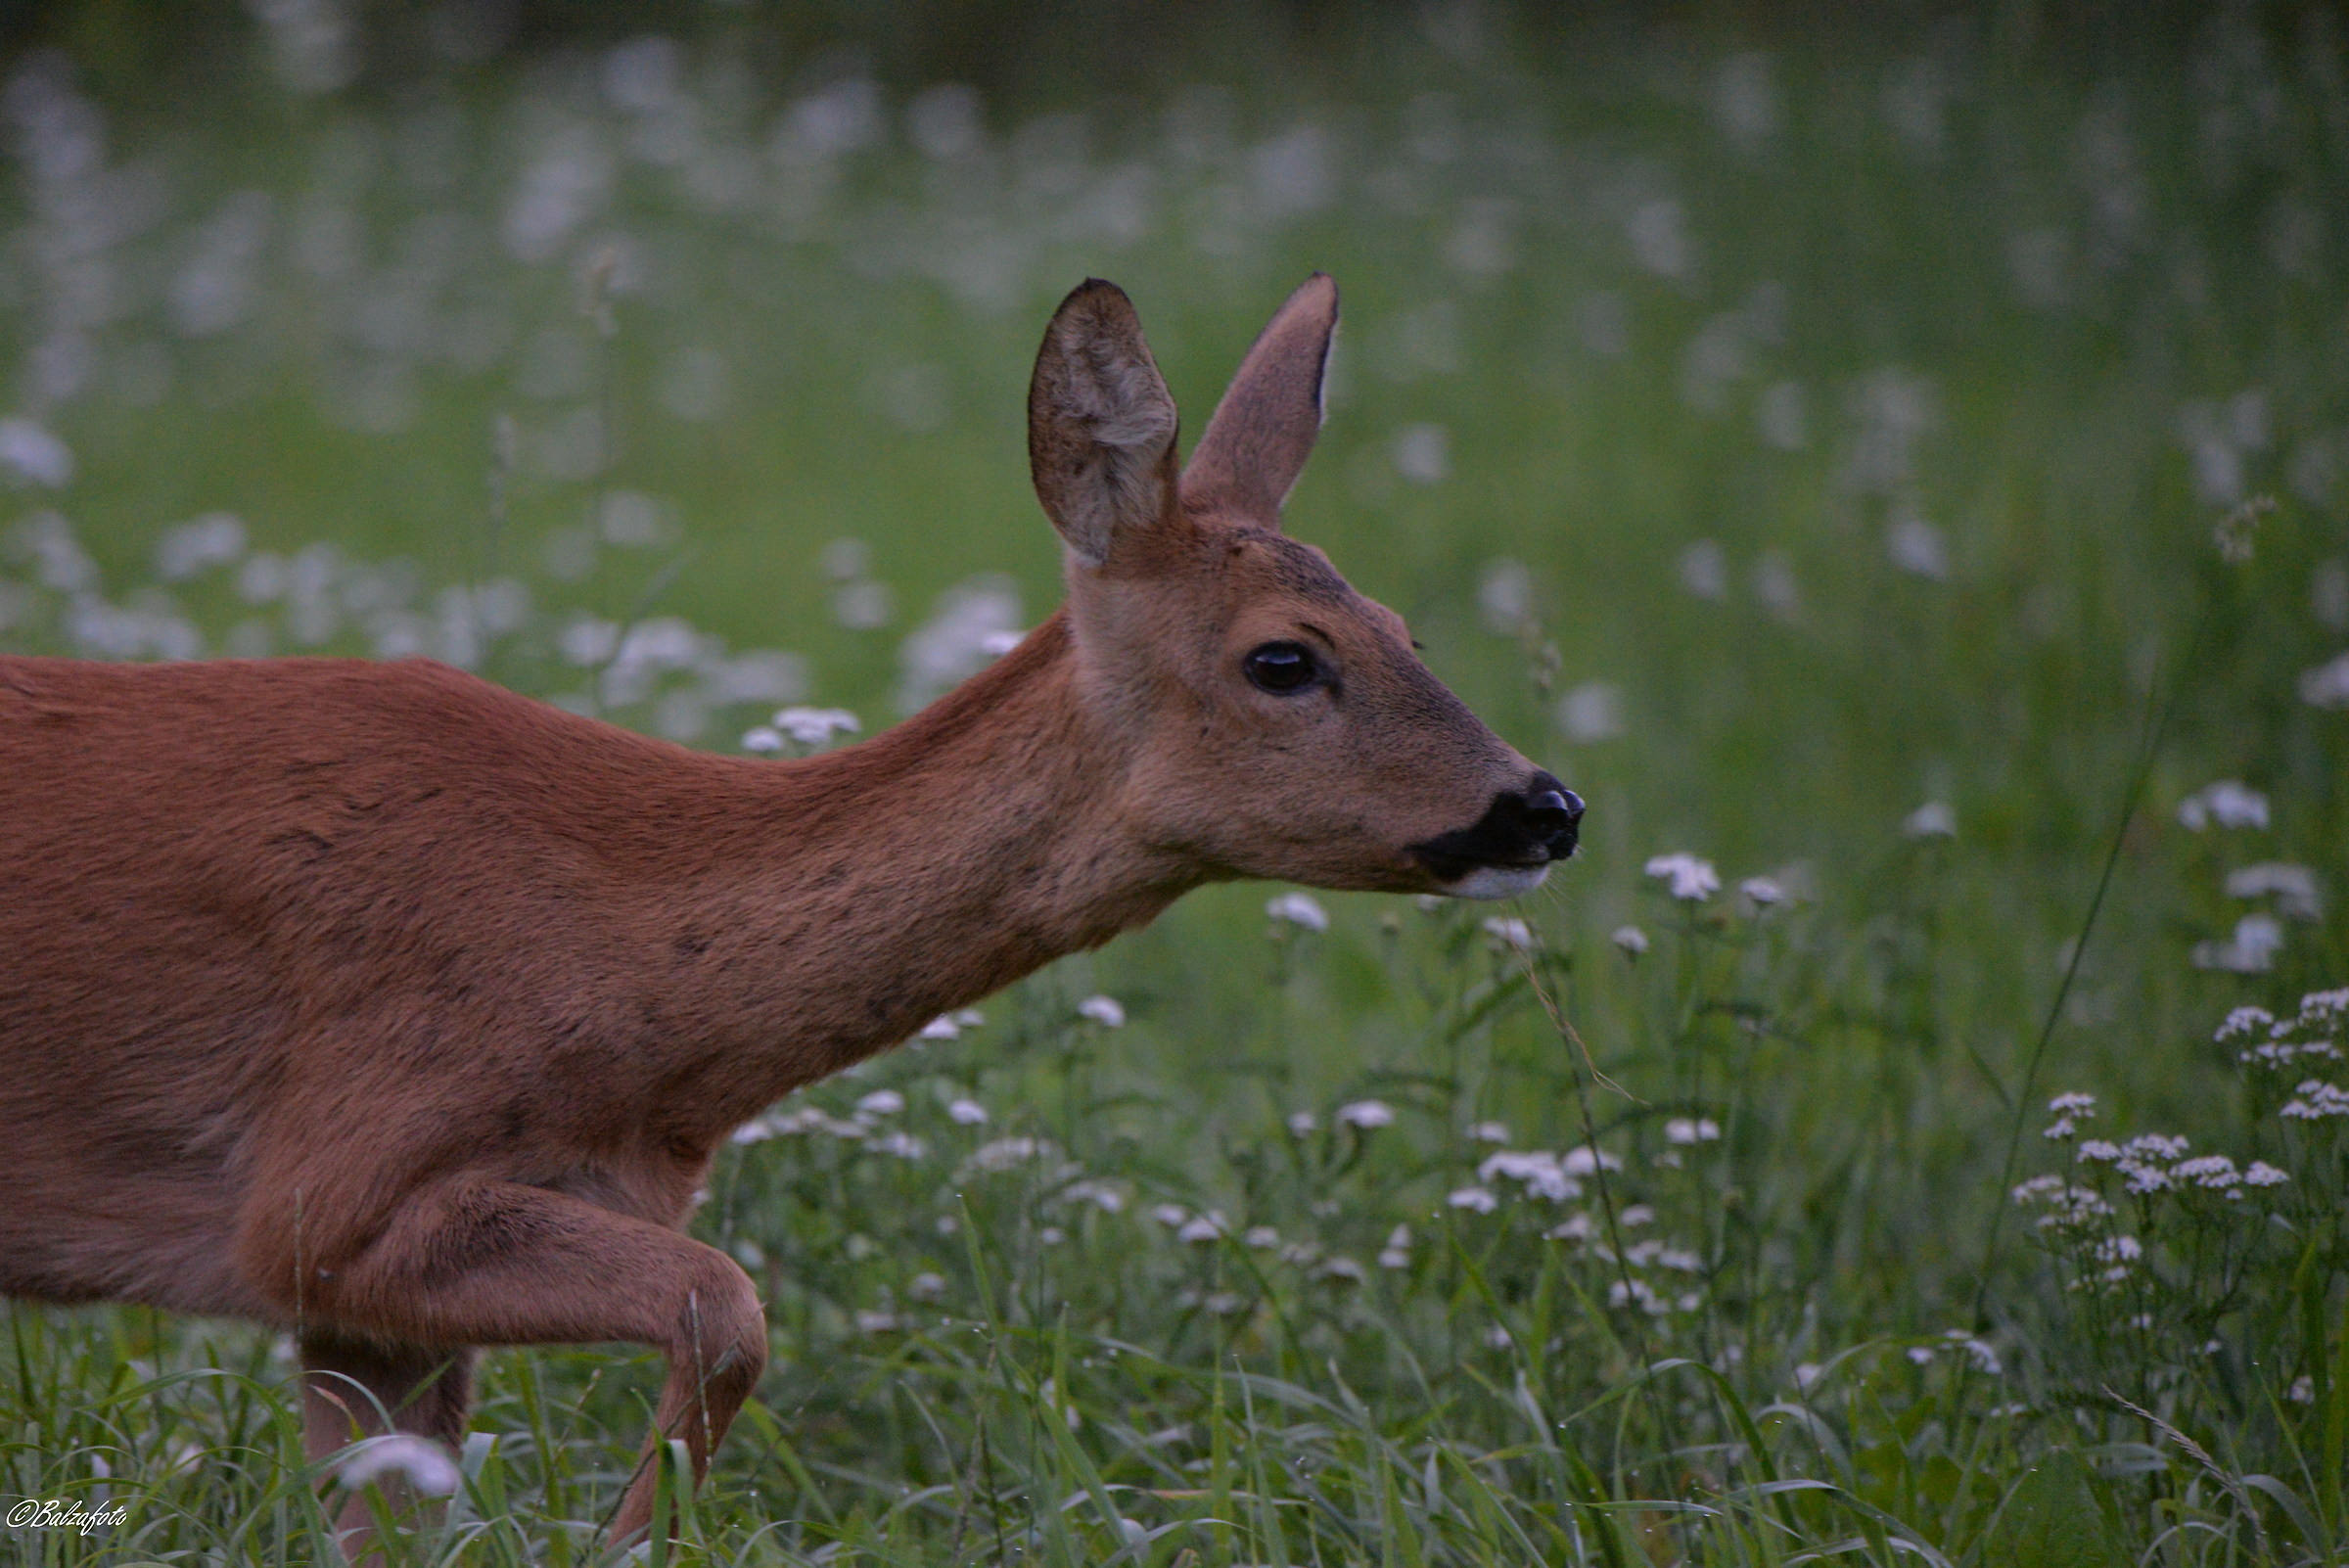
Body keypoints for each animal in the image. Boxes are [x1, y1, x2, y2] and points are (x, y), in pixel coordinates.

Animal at [0, 274, 1582, 1550]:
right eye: (1284, 658)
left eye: (1406, 628)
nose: (1545, 807)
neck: (629, 987)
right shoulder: (325, 1194)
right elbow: (731, 1308)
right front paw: (628, 1540)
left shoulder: (355, 1297)